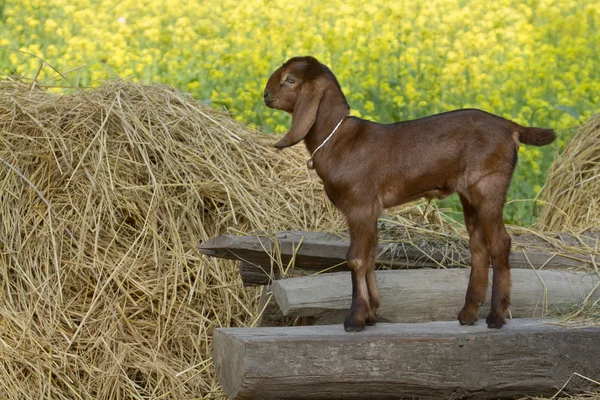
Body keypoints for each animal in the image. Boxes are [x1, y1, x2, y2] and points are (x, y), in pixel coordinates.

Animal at [264, 56, 556, 332]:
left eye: (290, 79)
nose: (265, 95)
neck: (340, 140)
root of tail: (511, 127)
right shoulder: (371, 210)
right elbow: (370, 256)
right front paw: (371, 313)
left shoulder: (360, 205)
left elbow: (356, 259)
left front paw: (355, 318)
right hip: (469, 194)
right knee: (478, 245)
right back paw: (468, 314)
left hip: (489, 186)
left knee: (500, 244)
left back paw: (496, 316)